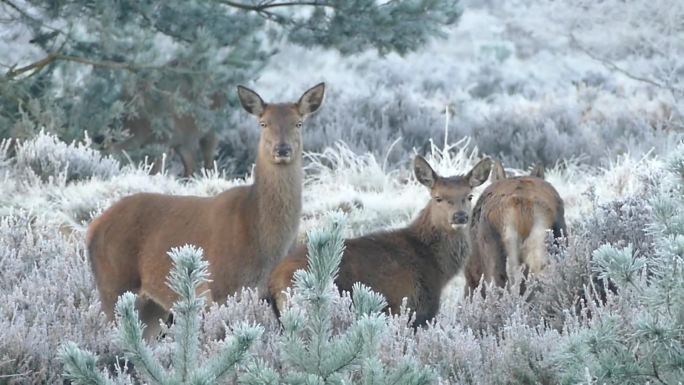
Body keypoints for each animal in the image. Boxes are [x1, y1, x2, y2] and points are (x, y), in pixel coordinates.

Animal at [86, 82, 326, 340]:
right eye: (263, 123)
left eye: (298, 123)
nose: (282, 149)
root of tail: (92, 228)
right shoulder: (219, 287)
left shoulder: (267, 292)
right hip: (113, 285)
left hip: (151, 305)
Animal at [268, 154, 492, 326]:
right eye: (438, 197)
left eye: (469, 196)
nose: (460, 216)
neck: (436, 267)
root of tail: (273, 280)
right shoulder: (411, 307)